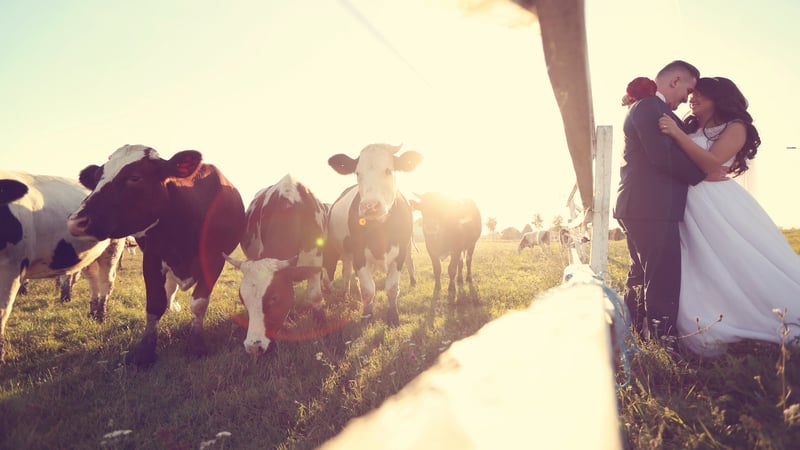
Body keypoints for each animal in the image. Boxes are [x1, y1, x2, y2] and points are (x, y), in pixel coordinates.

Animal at [0, 171, 122, 362]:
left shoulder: (11, 268)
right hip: (89, 256)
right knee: (93, 280)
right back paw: (92, 313)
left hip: (113, 248)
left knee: (106, 282)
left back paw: (100, 317)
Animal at [66, 144, 244, 366]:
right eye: (98, 177)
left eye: (135, 177)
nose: (76, 221)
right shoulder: (152, 257)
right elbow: (154, 304)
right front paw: (146, 352)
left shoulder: (214, 260)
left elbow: (198, 303)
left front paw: (197, 344)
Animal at [324, 142, 424, 326]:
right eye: (357, 172)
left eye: (388, 170)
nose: (370, 206)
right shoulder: (358, 254)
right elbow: (368, 289)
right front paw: (367, 315)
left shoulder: (400, 253)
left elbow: (391, 288)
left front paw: (393, 316)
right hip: (341, 252)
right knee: (344, 273)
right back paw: (344, 294)